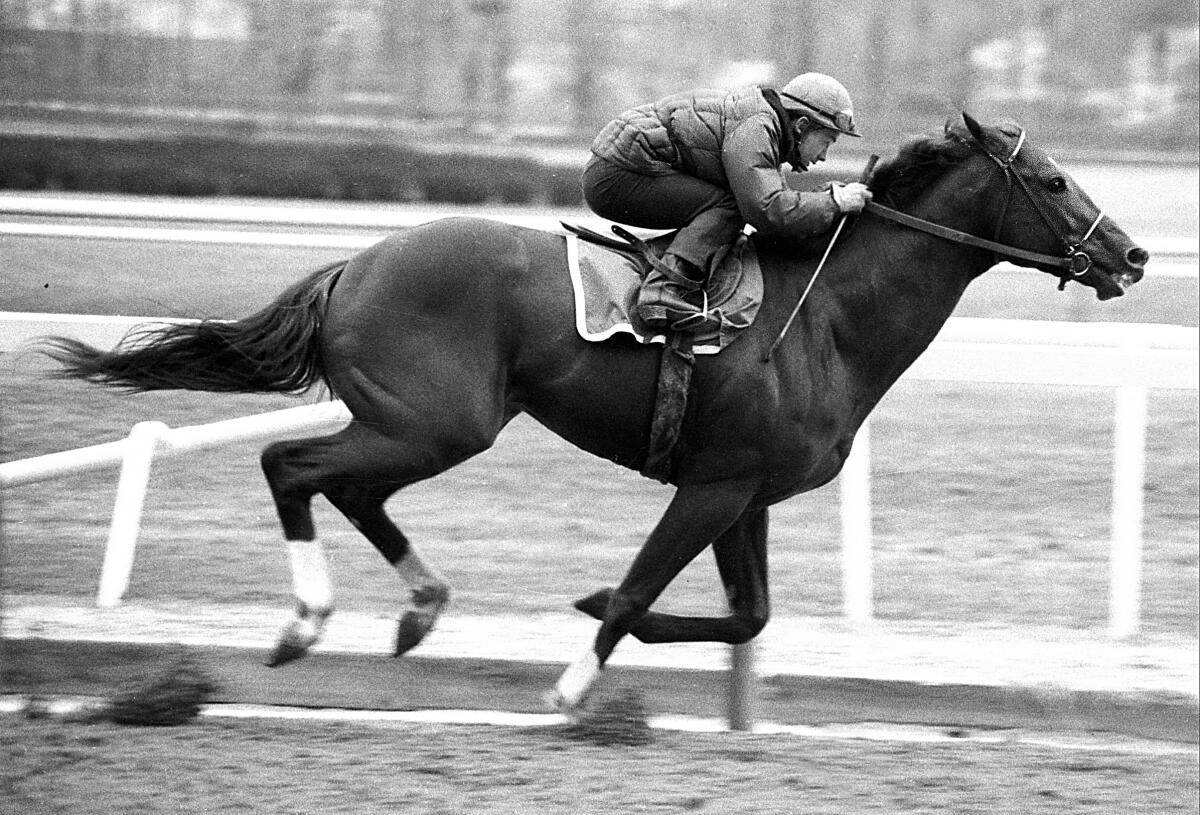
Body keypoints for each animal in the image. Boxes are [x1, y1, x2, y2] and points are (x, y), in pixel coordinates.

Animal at [39, 114, 1142, 715]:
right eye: (1052, 179)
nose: (1130, 255)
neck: (824, 314)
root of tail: (355, 263)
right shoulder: (715, 482)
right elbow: (638, 589)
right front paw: (571, 685)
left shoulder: (746, 492)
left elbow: (747, 611)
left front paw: (597, 616)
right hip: (437, 421)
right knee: (293, 468)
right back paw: (311, 618)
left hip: (426, 422)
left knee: (341, 486)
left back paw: (415, 605)